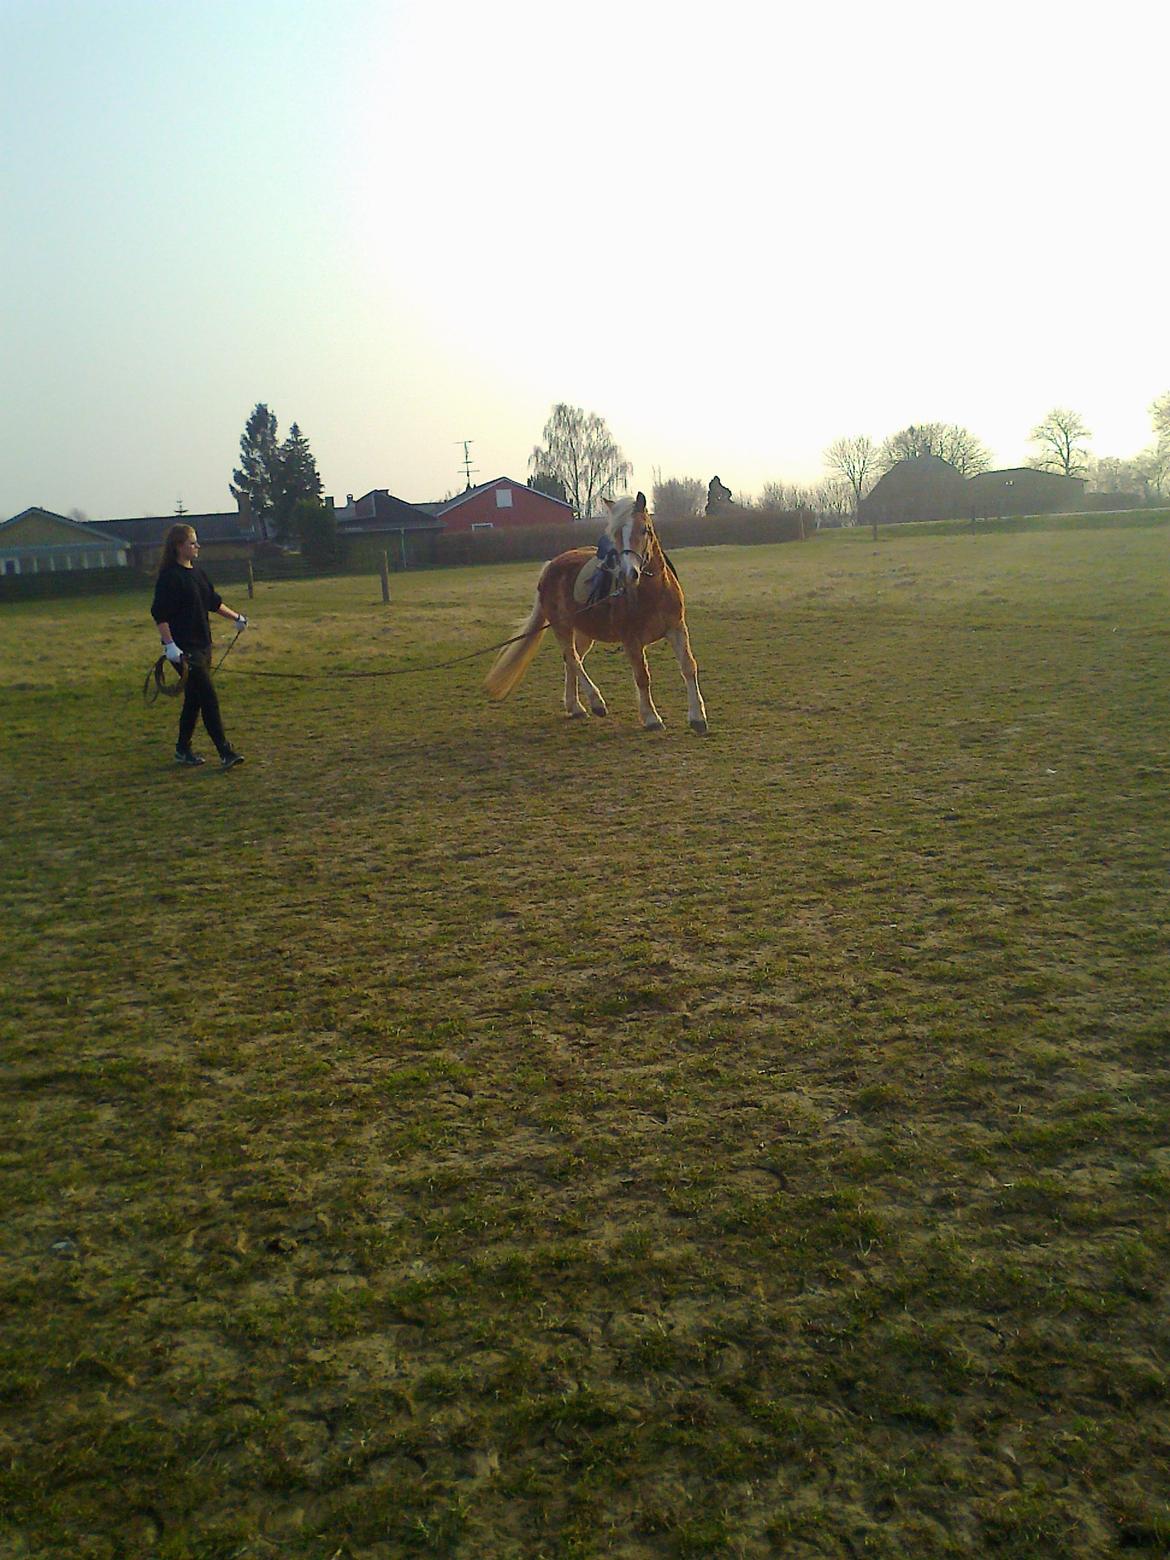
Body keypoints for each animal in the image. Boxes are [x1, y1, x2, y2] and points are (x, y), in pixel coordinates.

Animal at [483, 489, 711, 733]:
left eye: (644, 529)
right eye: (615, 534)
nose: (628, 574)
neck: (652, 592)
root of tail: (550, 567)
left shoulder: (677, 629)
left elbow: (688, 666)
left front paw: (697, 717)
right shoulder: (632, 640)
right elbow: (642, 676)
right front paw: (651, 718)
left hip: (585, 632)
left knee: (572, 661)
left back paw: (575, 707)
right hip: (562, 626)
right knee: (573, 659)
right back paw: (595, 703)